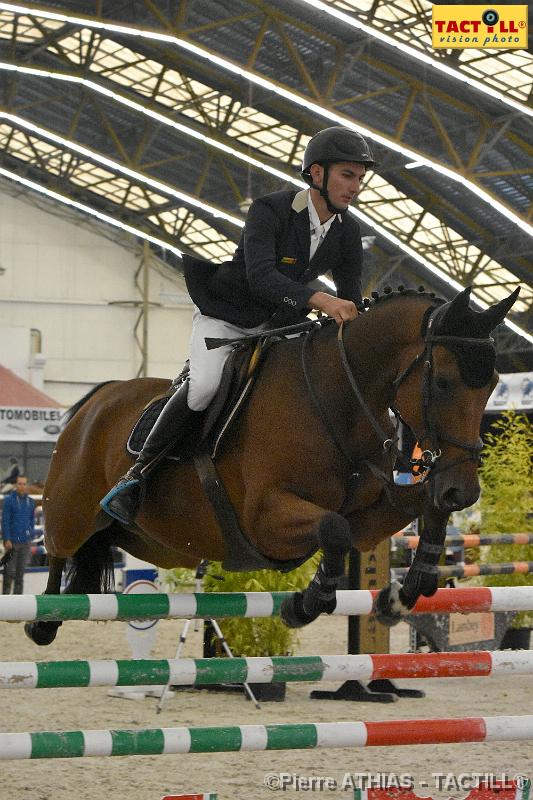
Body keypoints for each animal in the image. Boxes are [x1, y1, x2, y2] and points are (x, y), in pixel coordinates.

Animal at [26, 284, 520, 648]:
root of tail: (96, 399)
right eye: (443, 382)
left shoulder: (372, 514)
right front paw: (305, 604)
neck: (336, 397)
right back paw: (44, 620)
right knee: (58, 549)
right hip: (69, 508)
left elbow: (406, 514)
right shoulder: (264, 519)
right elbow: (333, 528)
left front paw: (403, 594)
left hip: (158, 543)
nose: (463, 491)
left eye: (493, 383)